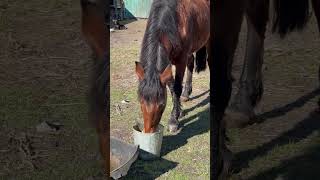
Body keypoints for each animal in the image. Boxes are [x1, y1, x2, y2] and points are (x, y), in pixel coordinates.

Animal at [134, 0, 210, 132]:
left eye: (161, 105)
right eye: (141, 102)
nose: (149, 131)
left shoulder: (180, 61)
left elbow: (177, 88)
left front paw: (174, 120)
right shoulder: (167, 64)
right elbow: (171, 87)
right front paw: (179, 111)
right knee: (191, 63)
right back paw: (186, 94)